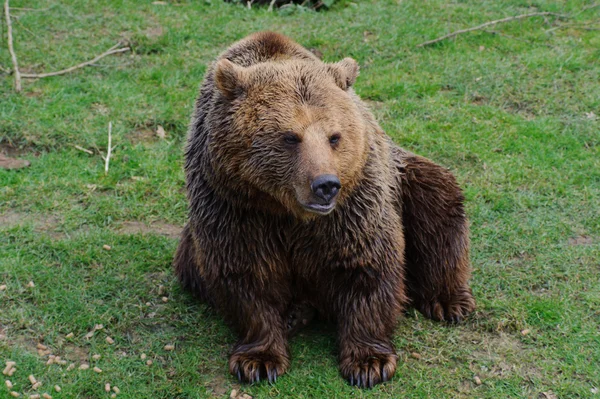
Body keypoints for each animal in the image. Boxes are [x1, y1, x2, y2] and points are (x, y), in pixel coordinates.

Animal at [176, 32, 476, 390]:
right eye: (290, 136)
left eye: (335, 136)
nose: (326, 185)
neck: (286, 210)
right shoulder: (234, 206)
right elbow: (245, 273)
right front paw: (258, 360)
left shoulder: (353, 205)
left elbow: (367, 266)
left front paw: (369, 362)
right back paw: (295, 313)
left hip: (406, 179)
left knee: (438, 203)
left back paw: (449, 301)